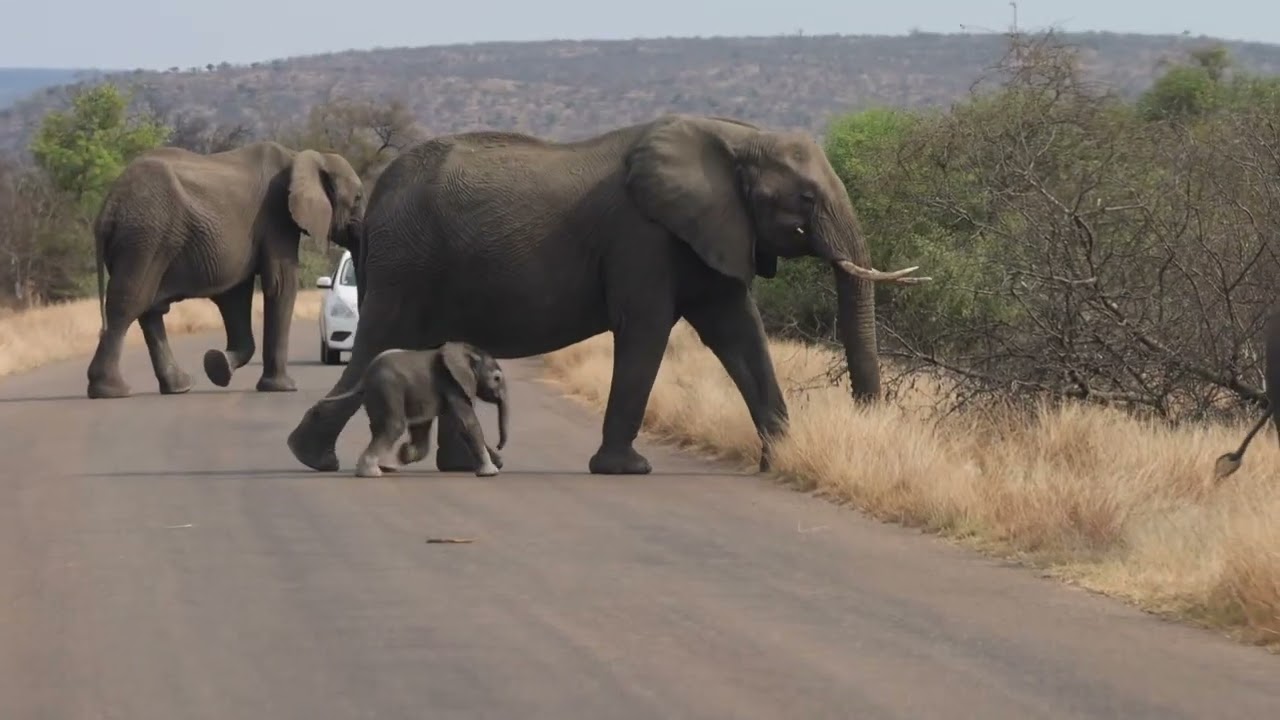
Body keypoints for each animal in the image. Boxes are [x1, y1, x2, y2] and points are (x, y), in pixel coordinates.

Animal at [85, 141, 365, 399]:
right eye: (358, 199)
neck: (303, 156)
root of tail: (108, 205)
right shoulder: (277, 217)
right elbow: (281, 285)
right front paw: (282, 388)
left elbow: (235, 297)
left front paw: (217, 365)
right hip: (147, 235)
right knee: (129, 303)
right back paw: (110, 391)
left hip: (146, 238)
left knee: (149, 310)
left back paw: (178, 387)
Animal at [314, 342, 510, 478]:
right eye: (497, 378)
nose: (499, 446)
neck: (467, 352)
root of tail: (364, 376)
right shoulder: (453, 384)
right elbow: (467, 423)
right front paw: (490, 473)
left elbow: (422, 425)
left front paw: (405, 454)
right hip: (387, 388)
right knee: (393, 425)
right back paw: (371, 473)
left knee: (379, 427)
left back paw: (386, 466)